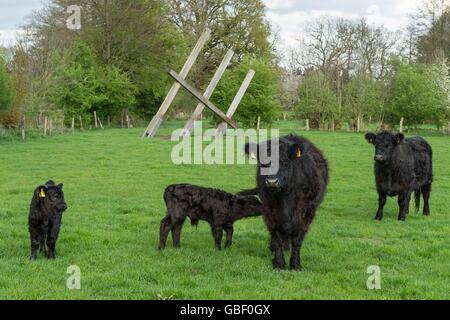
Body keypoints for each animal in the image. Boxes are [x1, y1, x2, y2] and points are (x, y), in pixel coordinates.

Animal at [241, 134, 328, 272]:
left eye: (285, 162)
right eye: (264, 164)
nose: (272, 182)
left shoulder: (307, 212)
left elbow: (297, 238)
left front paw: (296, 265)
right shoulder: (268, 210)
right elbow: (276, 236)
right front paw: (279, 264)